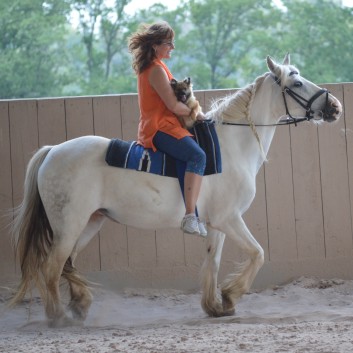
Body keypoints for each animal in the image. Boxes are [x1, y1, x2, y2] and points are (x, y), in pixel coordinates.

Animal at [11, 53, 340, 326]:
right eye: (297, 82)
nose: (334, 106)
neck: (231, 147)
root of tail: (52, 151)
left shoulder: (217, 224)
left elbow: (212, 262)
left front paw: (215, 306)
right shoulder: (230, 219)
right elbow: (257, 253)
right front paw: (231, 295)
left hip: (90, 222)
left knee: (67, 264)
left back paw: (79, 305)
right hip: (69, 226)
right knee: (52, 268)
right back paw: (59, 316)